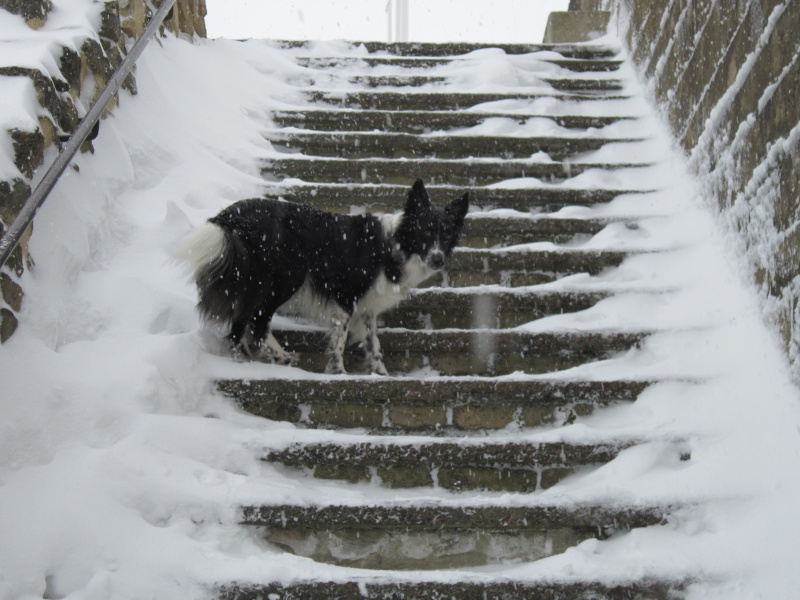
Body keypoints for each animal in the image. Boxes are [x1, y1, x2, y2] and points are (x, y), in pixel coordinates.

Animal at [172, 179, 466, 376]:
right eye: (426, 231)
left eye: (447, 234)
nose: (438, 260)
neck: (394, 246)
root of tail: (229, 217)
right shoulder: (346, 297)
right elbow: (340, 340)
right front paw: (340, 373)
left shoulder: (368, 309)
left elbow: (374, 344)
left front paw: (380, 374)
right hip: (284, 278)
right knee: (257, 322)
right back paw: (279, 357)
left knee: (241, 322)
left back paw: (242, 359)